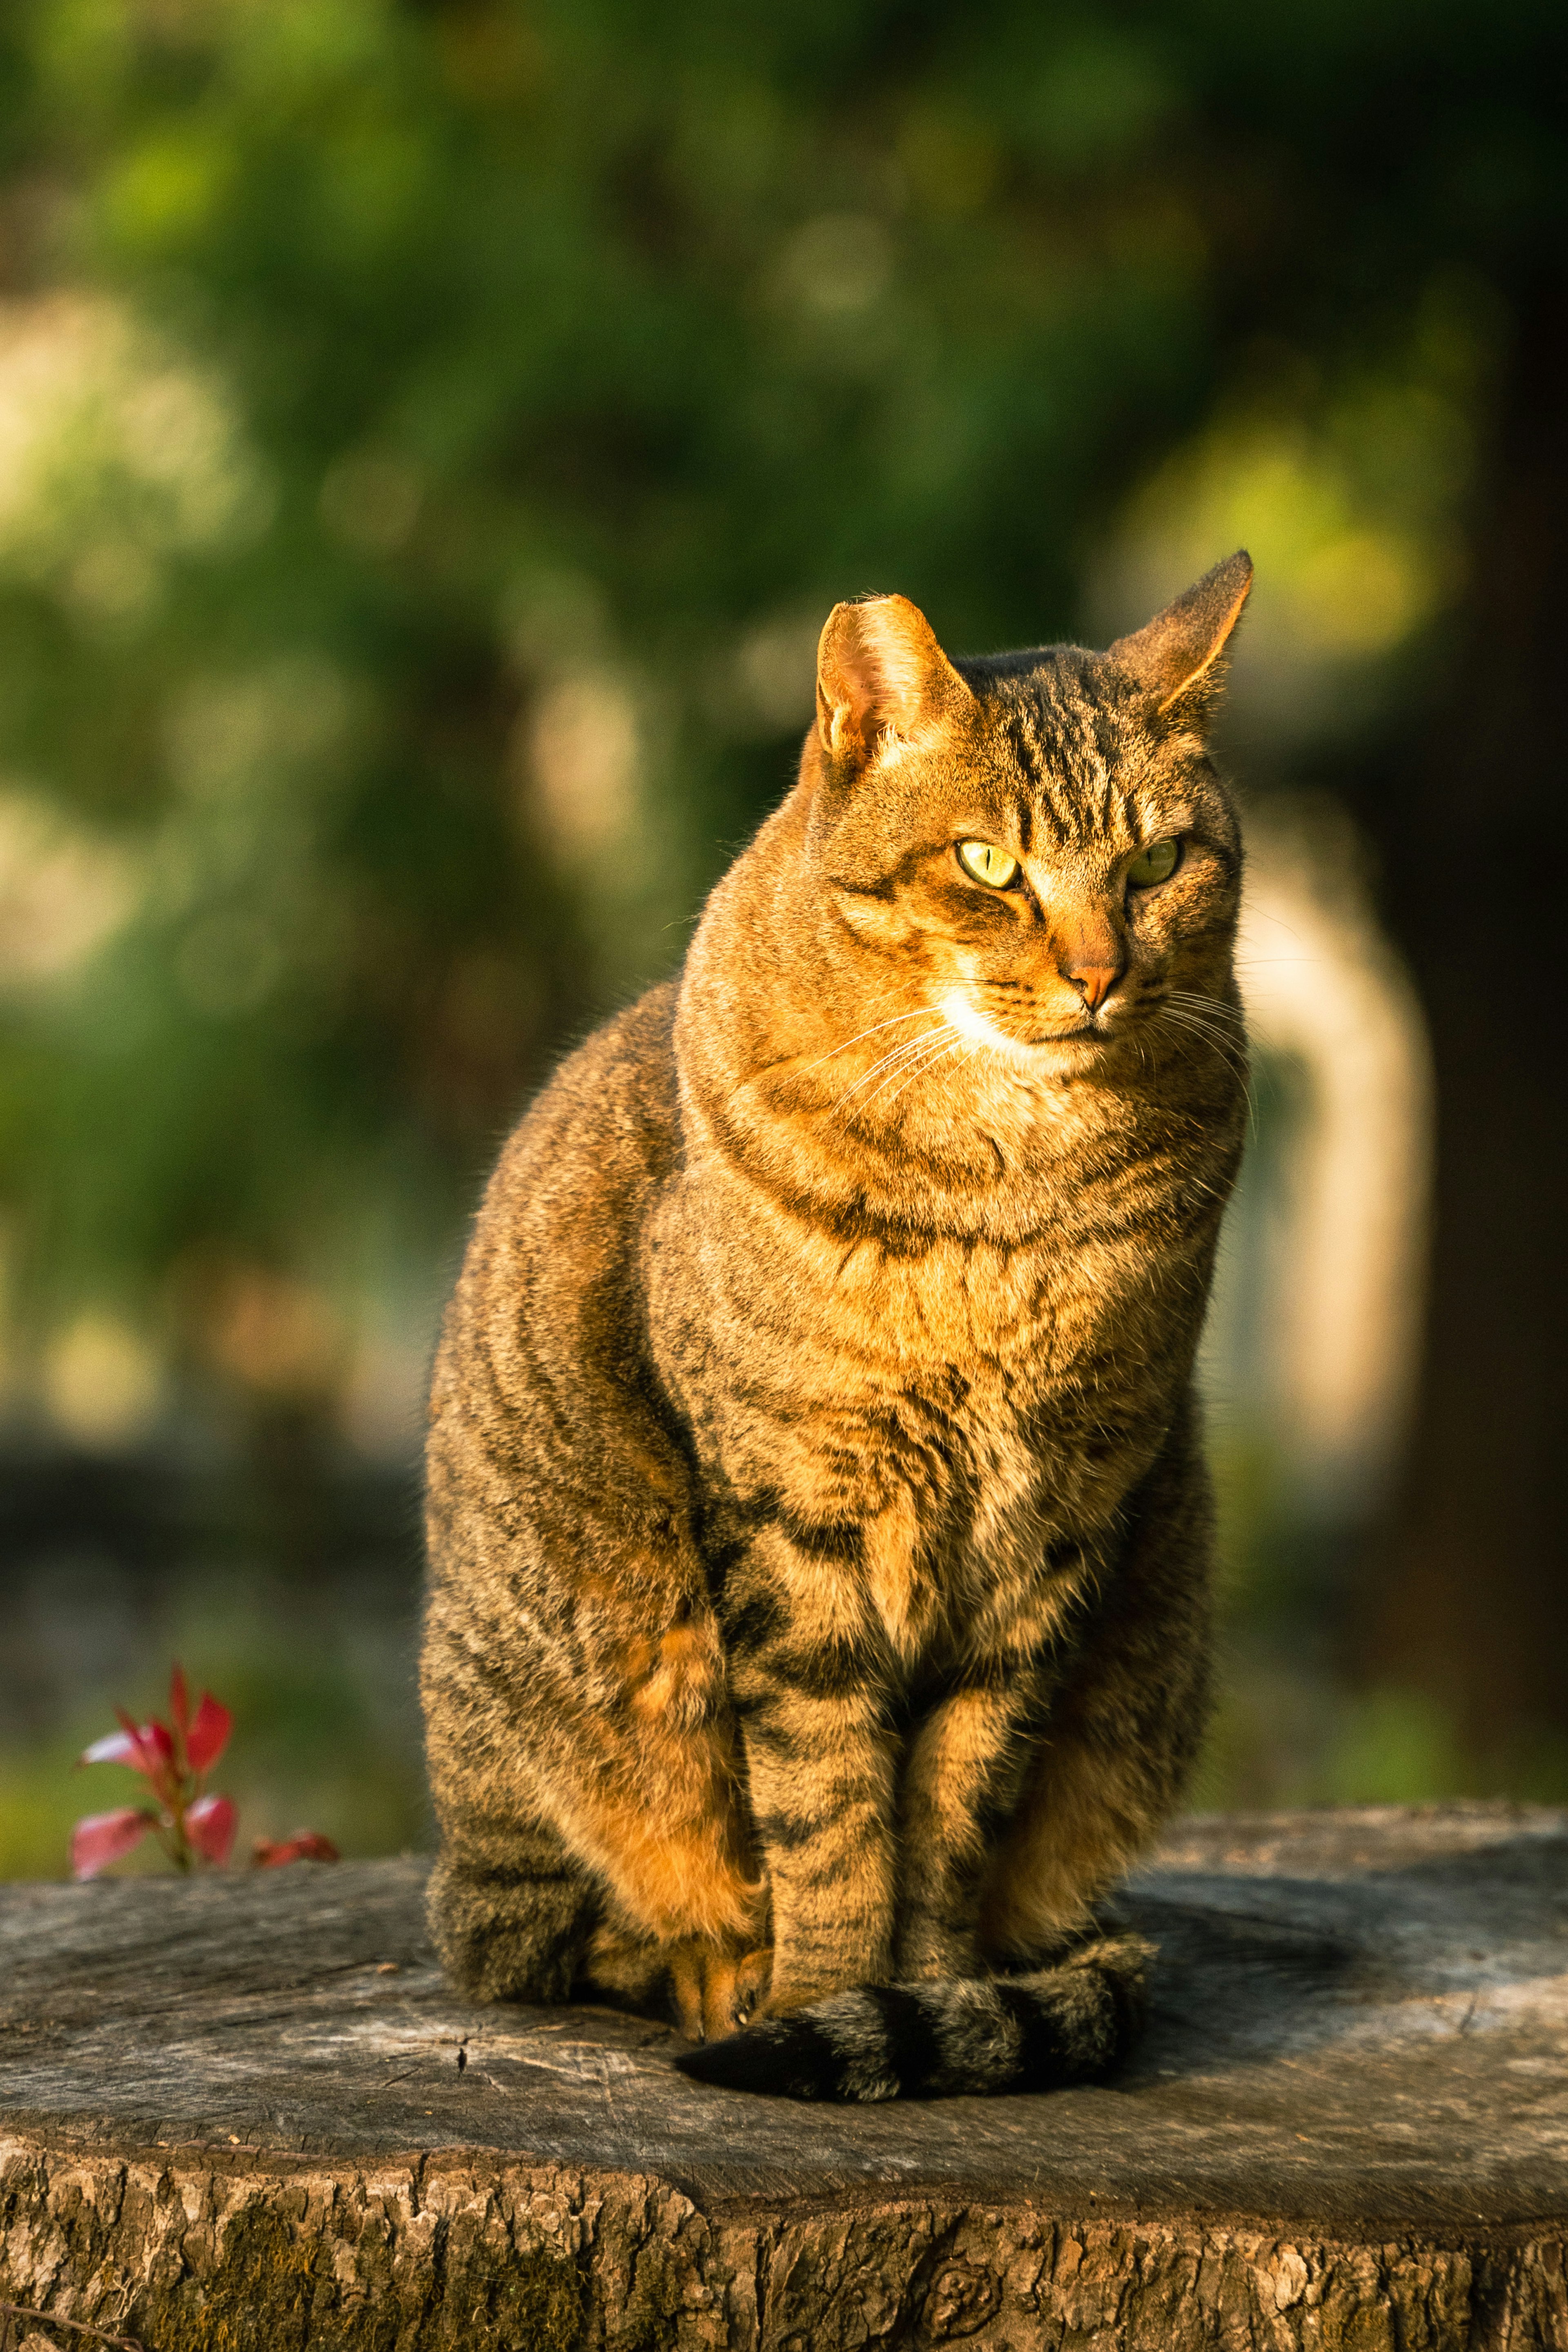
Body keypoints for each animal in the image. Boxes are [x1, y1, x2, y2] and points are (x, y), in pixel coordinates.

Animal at [416, 555, 1250, 2117]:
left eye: (1157, 864)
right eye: (989, 865)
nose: (1100, 973)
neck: (1015, 1199)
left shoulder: (1057, 1527)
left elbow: (956, 1796)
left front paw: (920, 1993)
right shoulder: (793, 1511)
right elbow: (824, 1798)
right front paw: (818, 1997)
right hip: (561, 1696)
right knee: (540, 1933)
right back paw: (712, 1969)